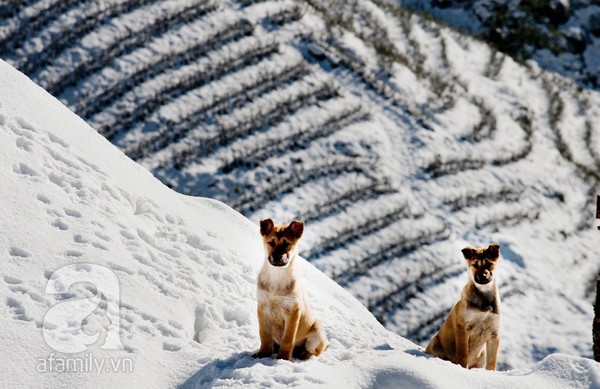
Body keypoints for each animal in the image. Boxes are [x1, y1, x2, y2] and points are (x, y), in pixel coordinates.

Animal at [252, 218, 330, 360]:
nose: (277, 257)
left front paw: (283, 358)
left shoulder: (293, 310)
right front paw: (262, 354)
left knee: (313, 351)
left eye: (286, 244)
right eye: (271, 243)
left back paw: (301, 355)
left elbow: (288, 338)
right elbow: (264, 335)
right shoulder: (262, 307)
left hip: (317, 332)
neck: (277, 276)